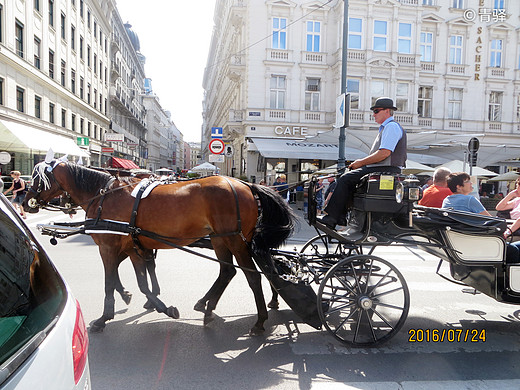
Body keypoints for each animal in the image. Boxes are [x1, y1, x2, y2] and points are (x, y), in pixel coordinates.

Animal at [24, 160, 294, 334]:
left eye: (38, 178)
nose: (26, 202)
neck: (103, 196)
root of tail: (246, 185)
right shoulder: (133, 246)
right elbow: (142, 281)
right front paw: (157, 304)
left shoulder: (108, 247)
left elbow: (110, 281)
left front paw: (104, 317)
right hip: (221, 239)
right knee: (228, 272)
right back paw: (207, 308)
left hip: (236, 240)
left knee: (252, 276)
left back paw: (259, 321)